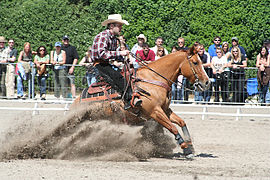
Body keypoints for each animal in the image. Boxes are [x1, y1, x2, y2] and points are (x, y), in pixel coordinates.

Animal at [74, 44, 211, 158]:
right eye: (195, 62)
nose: (207, 82)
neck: (153, 79)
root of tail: (75, 102)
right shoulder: (155, 112)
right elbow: (173, 127)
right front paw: (186, 149)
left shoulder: (165, 110)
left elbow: (181, 122)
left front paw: (190, 146)